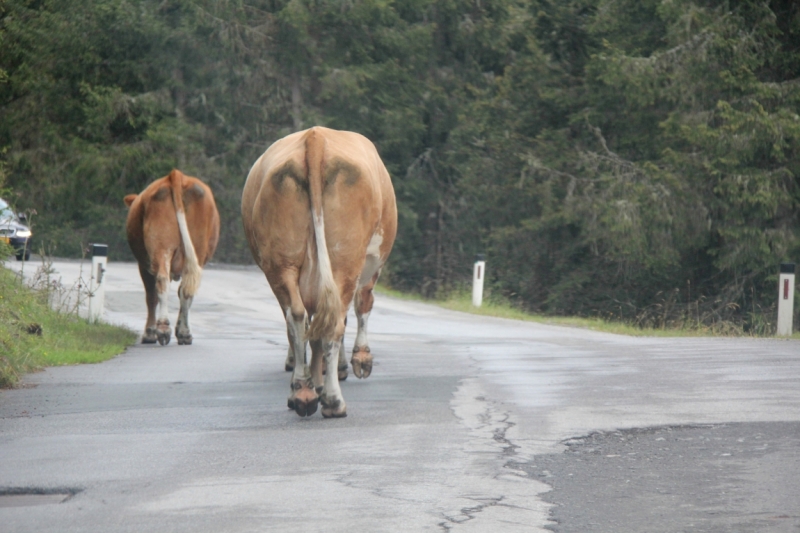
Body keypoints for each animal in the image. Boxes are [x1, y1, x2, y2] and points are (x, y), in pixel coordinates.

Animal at [123, 168, 220, 348]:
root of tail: (176, 175)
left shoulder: (143, 265)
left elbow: (151, 296)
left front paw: (149, 333)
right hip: (196, 249)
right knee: (186, 288)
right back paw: (184, 333)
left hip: (160, 247)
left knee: (161, 283)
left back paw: (162, 330)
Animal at [241, 127, 396, 418]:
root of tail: (316, 137)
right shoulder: (371, 266)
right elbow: (362, 305)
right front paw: (358, 360)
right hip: (345, 260)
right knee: (334, 321)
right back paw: (333, 400)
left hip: (282, 263)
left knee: (297, 317)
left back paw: (303, 392)